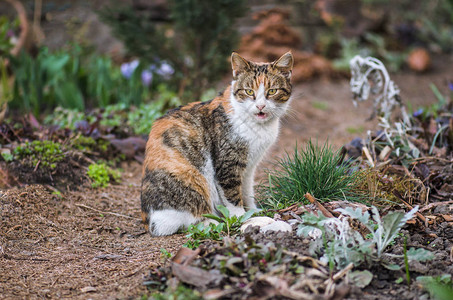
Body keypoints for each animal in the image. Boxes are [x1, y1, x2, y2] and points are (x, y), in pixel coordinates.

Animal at [140, 51, 294, 236]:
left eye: (272, 91)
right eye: (249, 91)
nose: (260, 106)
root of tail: (151, 223)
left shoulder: (249, 166)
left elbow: (247, 190)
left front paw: (253, 210)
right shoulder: (228, 164)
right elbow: (233, 199)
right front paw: (242, 218)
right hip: (195, 179)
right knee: (190, 220)